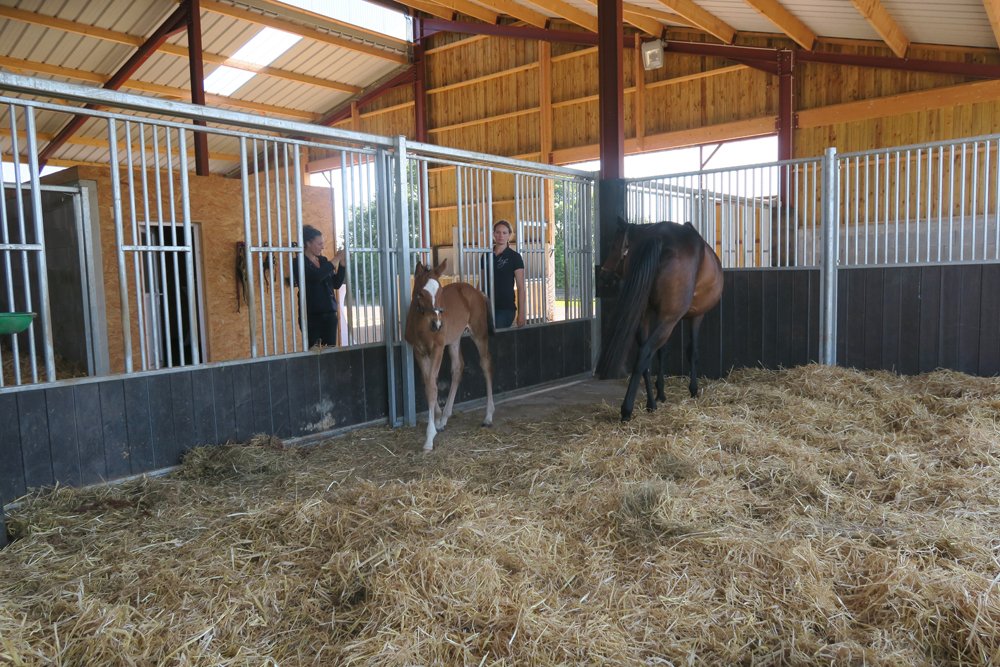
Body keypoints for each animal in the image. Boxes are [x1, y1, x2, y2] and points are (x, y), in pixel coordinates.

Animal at [404, 259, 495, 451]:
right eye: (420, 293)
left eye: (440, 291)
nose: (437, 324)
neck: (422, 326)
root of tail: (477, 291)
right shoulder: (418, 351)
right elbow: (428, 383)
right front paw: (438, 419)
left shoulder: (437, 348)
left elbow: (432, 387)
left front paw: (429, 437)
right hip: (454, 340)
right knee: (458, 368)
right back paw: (445, 417)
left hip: (479, 334)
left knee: (486, 364)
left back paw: (488, 417)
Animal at [595, 218, 723, 422]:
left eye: (615, 245)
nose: (603, 275)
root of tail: (659, 237)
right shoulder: (694, 316)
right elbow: (692, 351)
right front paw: (693, 390)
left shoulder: (664, 316)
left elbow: (663, 352)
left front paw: (661, 393)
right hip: (669, 319)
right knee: (644, 353)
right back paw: (627, 410)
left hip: (648, 315)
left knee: (646, 355)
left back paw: (651, 404)